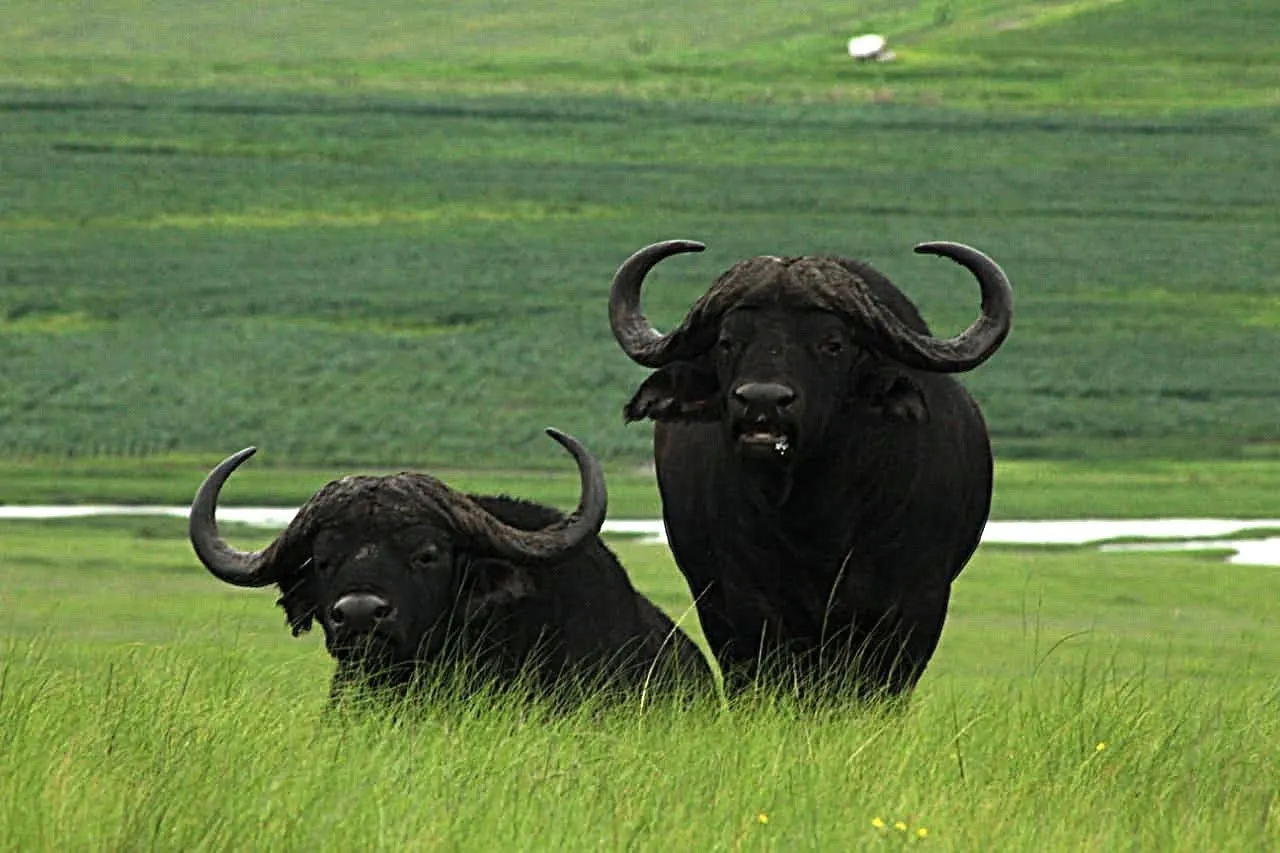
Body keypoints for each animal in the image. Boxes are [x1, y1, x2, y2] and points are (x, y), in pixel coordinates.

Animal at [607, 240, 1013, 699]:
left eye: (832, 343)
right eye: (728, 341)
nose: (762, 401)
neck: (815, 516)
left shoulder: (915, 602)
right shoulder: (748, 599)